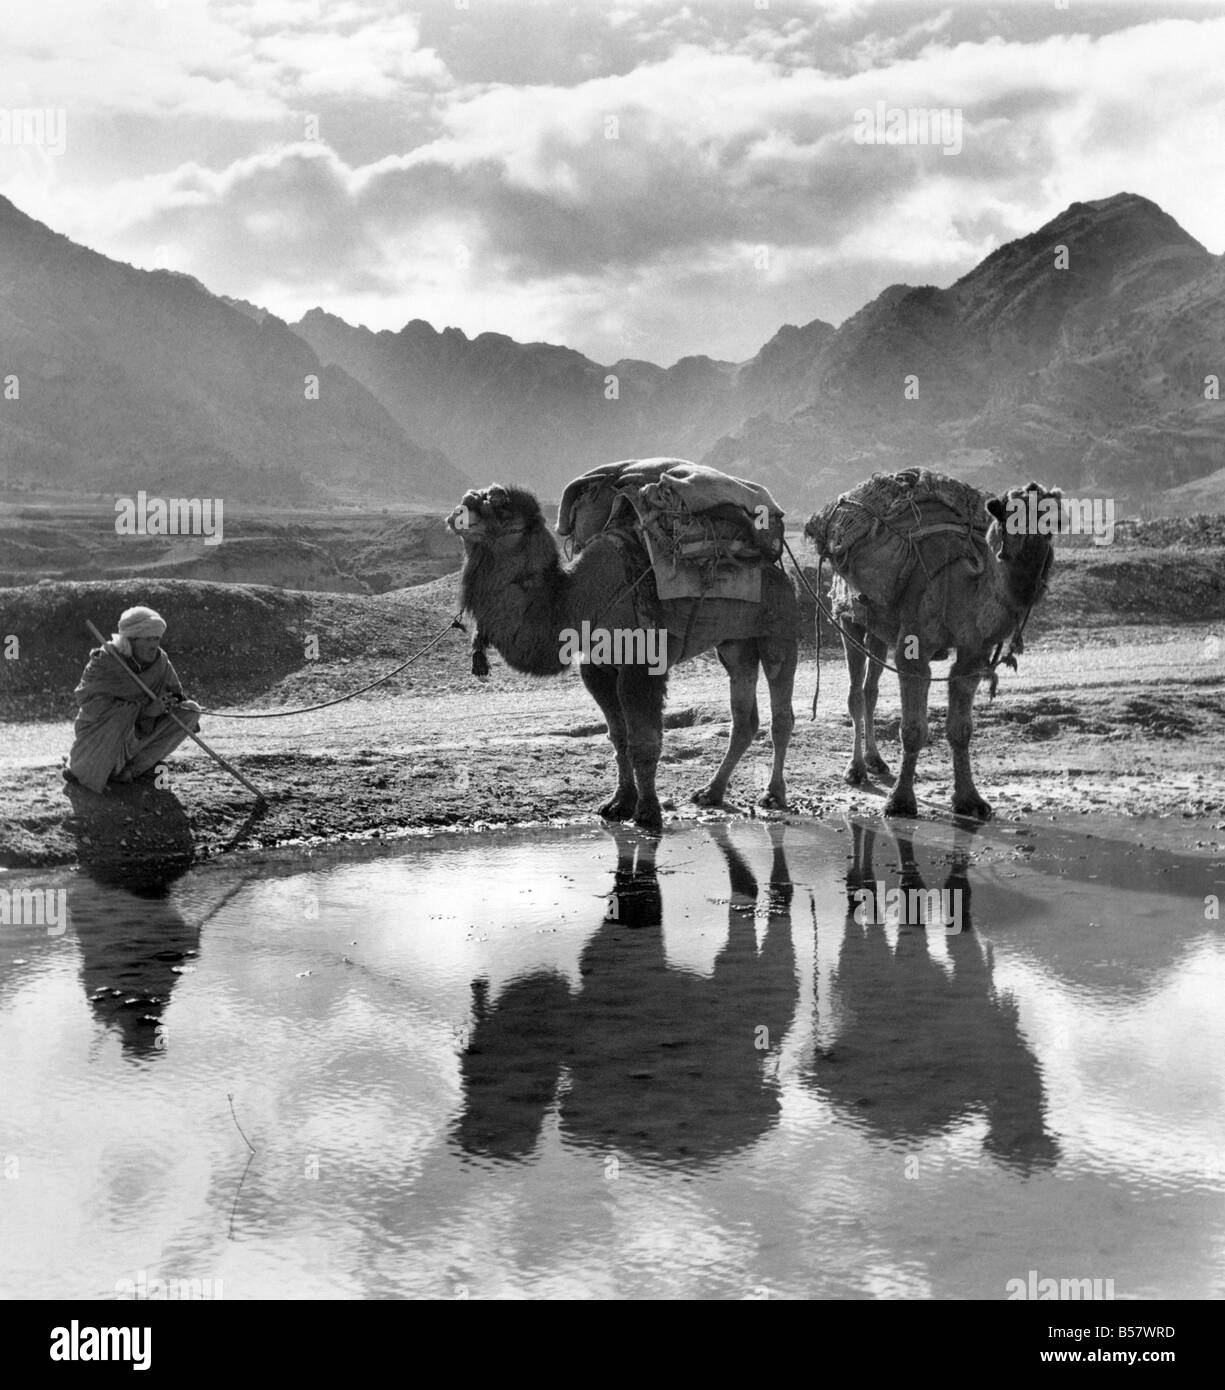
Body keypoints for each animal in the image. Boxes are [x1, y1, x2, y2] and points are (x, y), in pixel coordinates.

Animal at [444, 483, 800, 828]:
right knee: (744, 715)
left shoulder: (640, 665)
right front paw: (618, 804)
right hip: (735, 644)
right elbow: (618, 738)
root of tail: (780, 571)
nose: (461, 507)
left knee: (780, 712)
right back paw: (710, 792)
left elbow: (644, 740)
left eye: (501, 507)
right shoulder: (597, 668)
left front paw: (648, 812)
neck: (576, 602)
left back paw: (773, 794)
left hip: (779, 630)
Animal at [806, 480, 1056, 817]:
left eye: (1053, 519)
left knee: (871, 689)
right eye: (1012, 515)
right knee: (856, 693)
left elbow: (961, 729)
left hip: (879, 631)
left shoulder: (972, 651)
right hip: (849, 619)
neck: (960, 586)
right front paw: (899, 802)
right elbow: (912, 730)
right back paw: (856, 769)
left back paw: (876, 761)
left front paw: (970, 800)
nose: (1034, 564)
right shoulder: (914, 646)